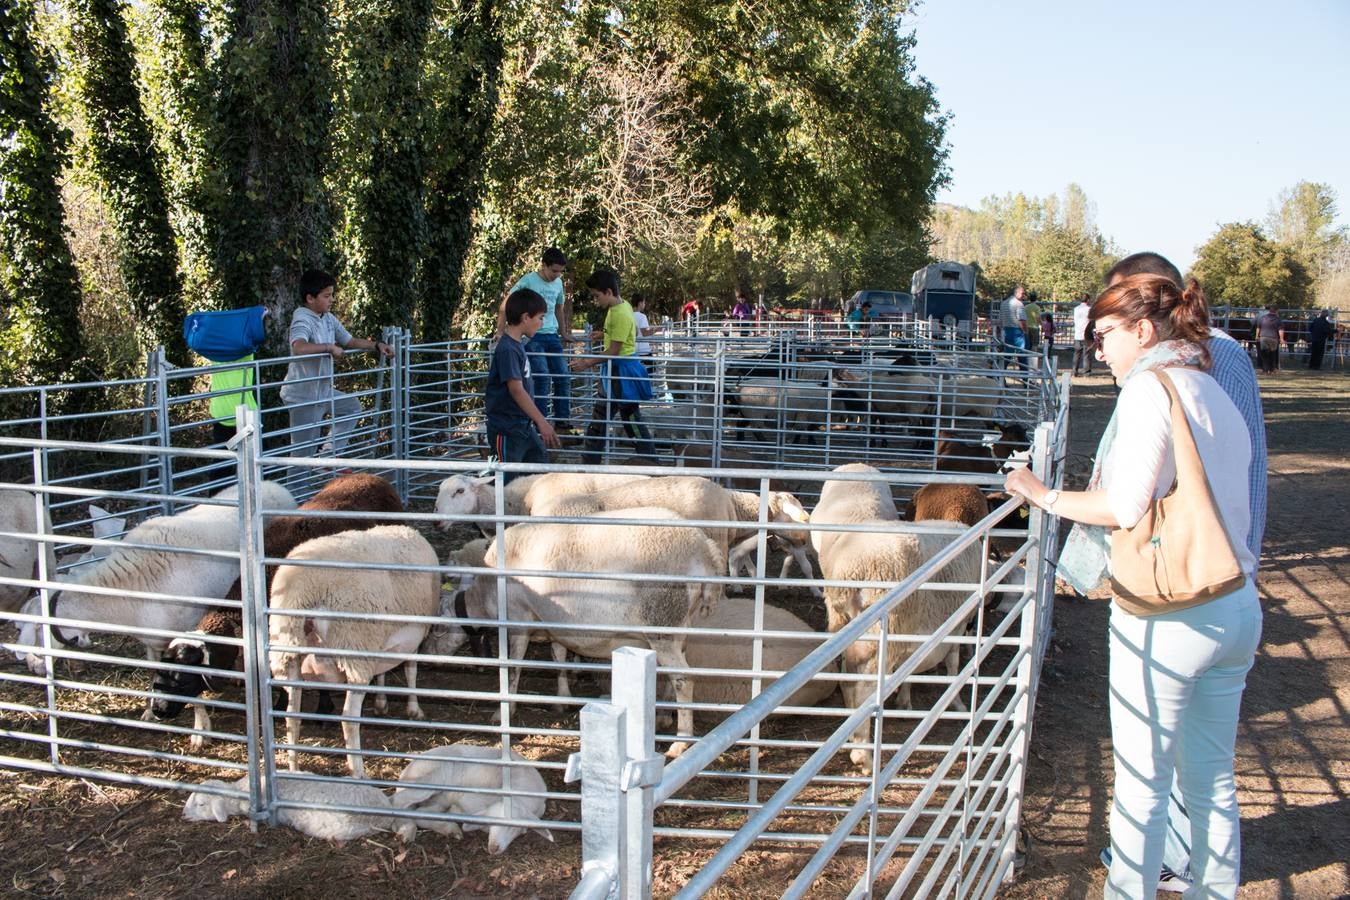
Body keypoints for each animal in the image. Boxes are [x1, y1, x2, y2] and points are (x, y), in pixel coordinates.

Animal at [268, 523, 442, 777]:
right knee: (349, 717)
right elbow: (411, 670)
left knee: (292, 716)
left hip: (290, 654)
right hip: (355, 647)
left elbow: (384, 672)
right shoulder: (412, 637)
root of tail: (306, 590)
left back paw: (294, 768)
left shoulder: (381, 642)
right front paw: (413, 709)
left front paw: (381, 702)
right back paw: (358, 770)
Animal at [394, 744, 556, 858]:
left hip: (438, 799)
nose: (493, 848)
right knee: (401, 804)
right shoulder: (468, 801)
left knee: (421, 812)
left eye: (512, 826)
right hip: (430, 778)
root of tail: (406, 771)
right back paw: (407, 831)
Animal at [461, 510, 729, 755]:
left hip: (662, 621)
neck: (483, 595)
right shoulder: (556, 625)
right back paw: (664, 716)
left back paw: (680, 742)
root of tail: (704, 549)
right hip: (680, 624)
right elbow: (558, 657)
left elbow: (514, 666)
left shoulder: (517, 620)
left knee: (684, 679)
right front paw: (563, 697)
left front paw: (504, 710)